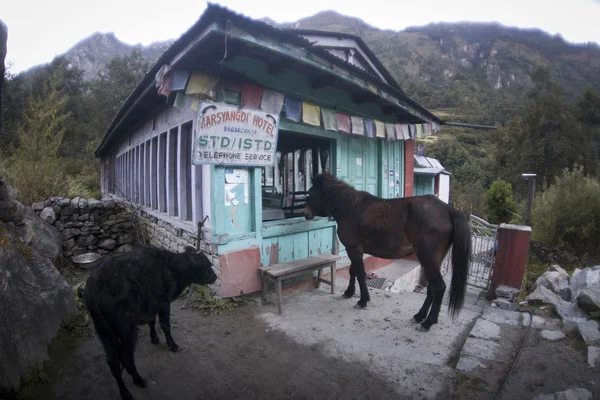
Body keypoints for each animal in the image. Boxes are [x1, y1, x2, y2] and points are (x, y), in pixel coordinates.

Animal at [83, 245, 217, 398]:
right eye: (206, 265)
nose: (215, 276)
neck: (169, 267)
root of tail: (93, 287)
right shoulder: (163, 304)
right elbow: (165, 326)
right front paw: (173, 345)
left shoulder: (150, 307)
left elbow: (151, 321)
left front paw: (154, 338)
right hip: (126, 329)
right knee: (126, 357)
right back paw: (137, 381)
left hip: (104, 332)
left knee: (113, 363)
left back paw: (124, 391)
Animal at [304, 172, 474, 332]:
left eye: (310, 193)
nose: (305, 213)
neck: (350, 208)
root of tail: (448, 210)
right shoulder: (355, 250)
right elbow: (353, 271)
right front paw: (349, 292)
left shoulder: (353, 249)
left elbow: (359, 274)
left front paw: (362, 300)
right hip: (433, 261)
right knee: (432, 287)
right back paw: (419, 316)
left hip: (428, 259)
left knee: (438, 287)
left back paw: (428, 322)